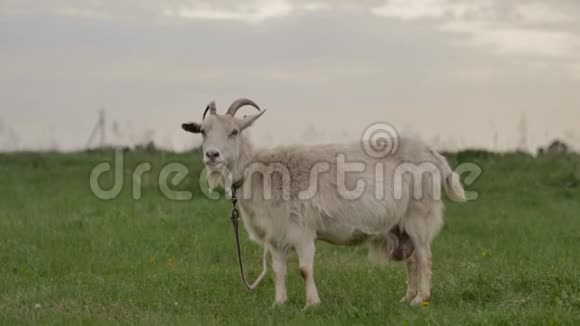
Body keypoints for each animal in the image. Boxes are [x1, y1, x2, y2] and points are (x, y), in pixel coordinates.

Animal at [182, 98, 466, 308]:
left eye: (234, 131)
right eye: (204, 131)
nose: (212, 155)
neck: (261, 172)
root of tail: (434, 154)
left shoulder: (302, 230)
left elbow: (305, 268)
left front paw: (311, 305)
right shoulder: (276, 235)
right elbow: (278, 270)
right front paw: (279, 304)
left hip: (420, 215)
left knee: (425, 257)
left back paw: (421, 299)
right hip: (400, 224)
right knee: (412, 260)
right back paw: (407, 298)